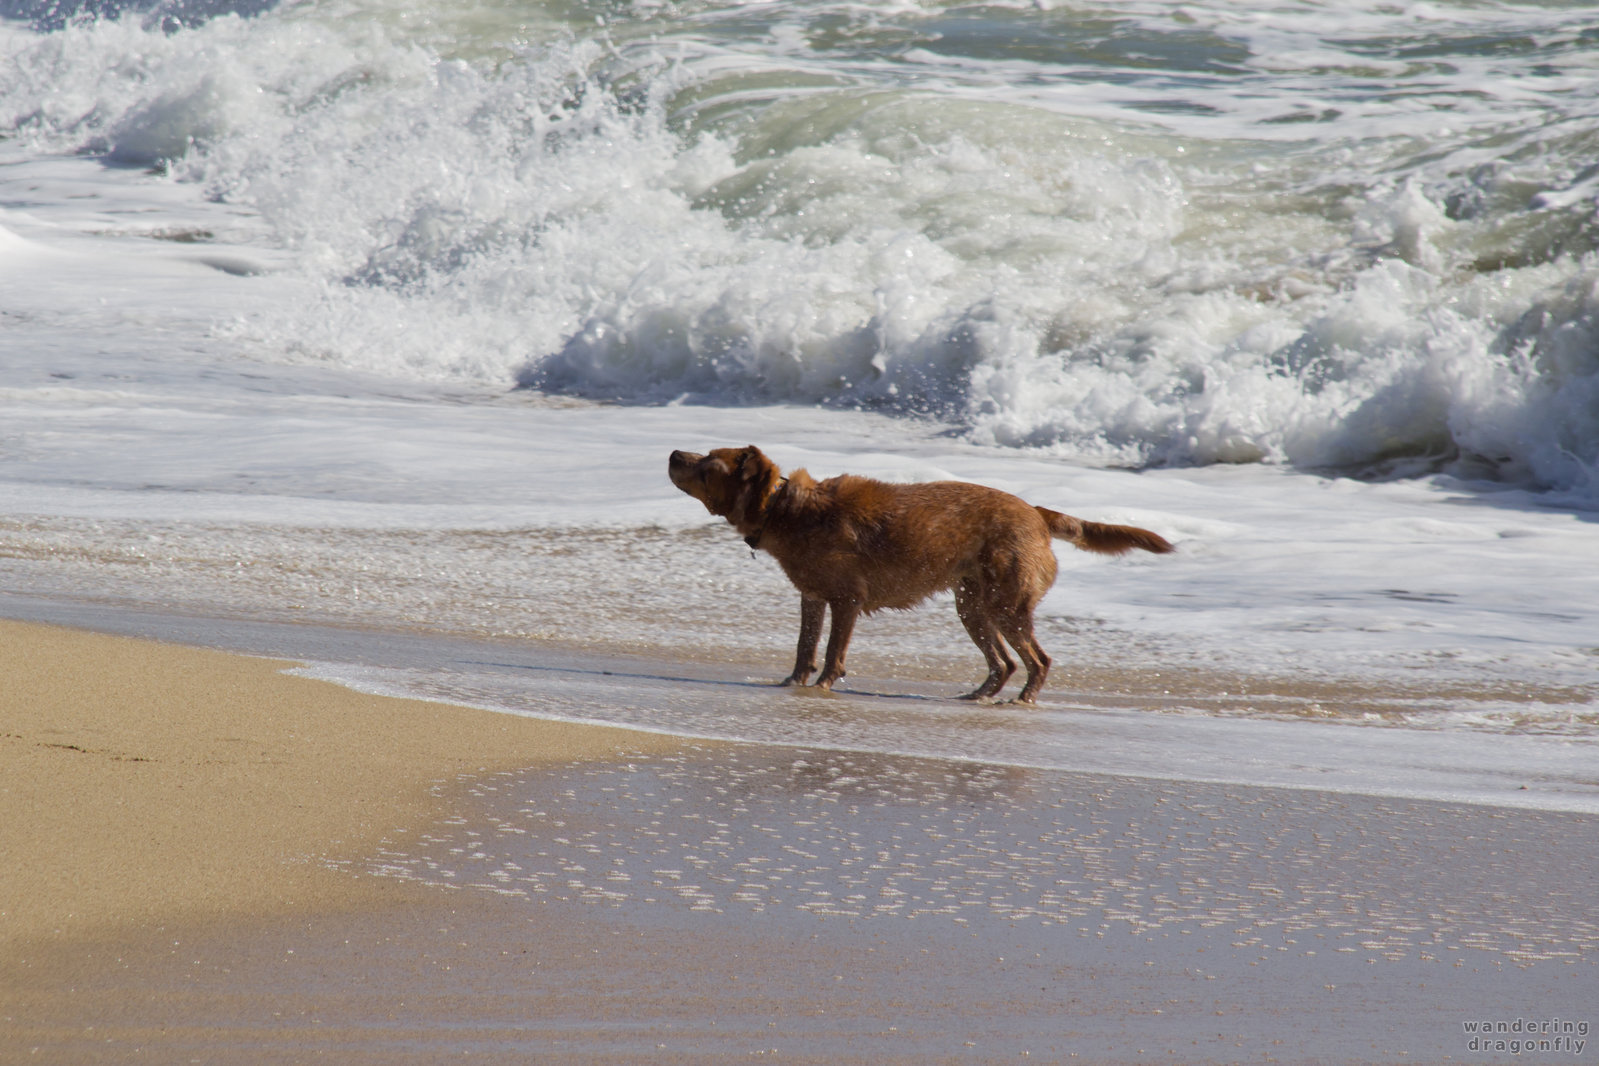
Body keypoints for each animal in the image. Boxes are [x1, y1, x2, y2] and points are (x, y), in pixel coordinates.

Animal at [665, 447, 1176, 703]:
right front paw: (792, 685)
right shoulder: (811, 597)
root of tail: (1035, 512)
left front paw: (824, 686)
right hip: (972, 606)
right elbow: (804, 648)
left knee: (1038, 660)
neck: (782, 508)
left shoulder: (846, 600)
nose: (672, 453)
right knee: (1004, 662)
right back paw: (977, 696)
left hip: (1005, 605)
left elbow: (831, 653)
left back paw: (1023, 698)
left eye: (707, 466)